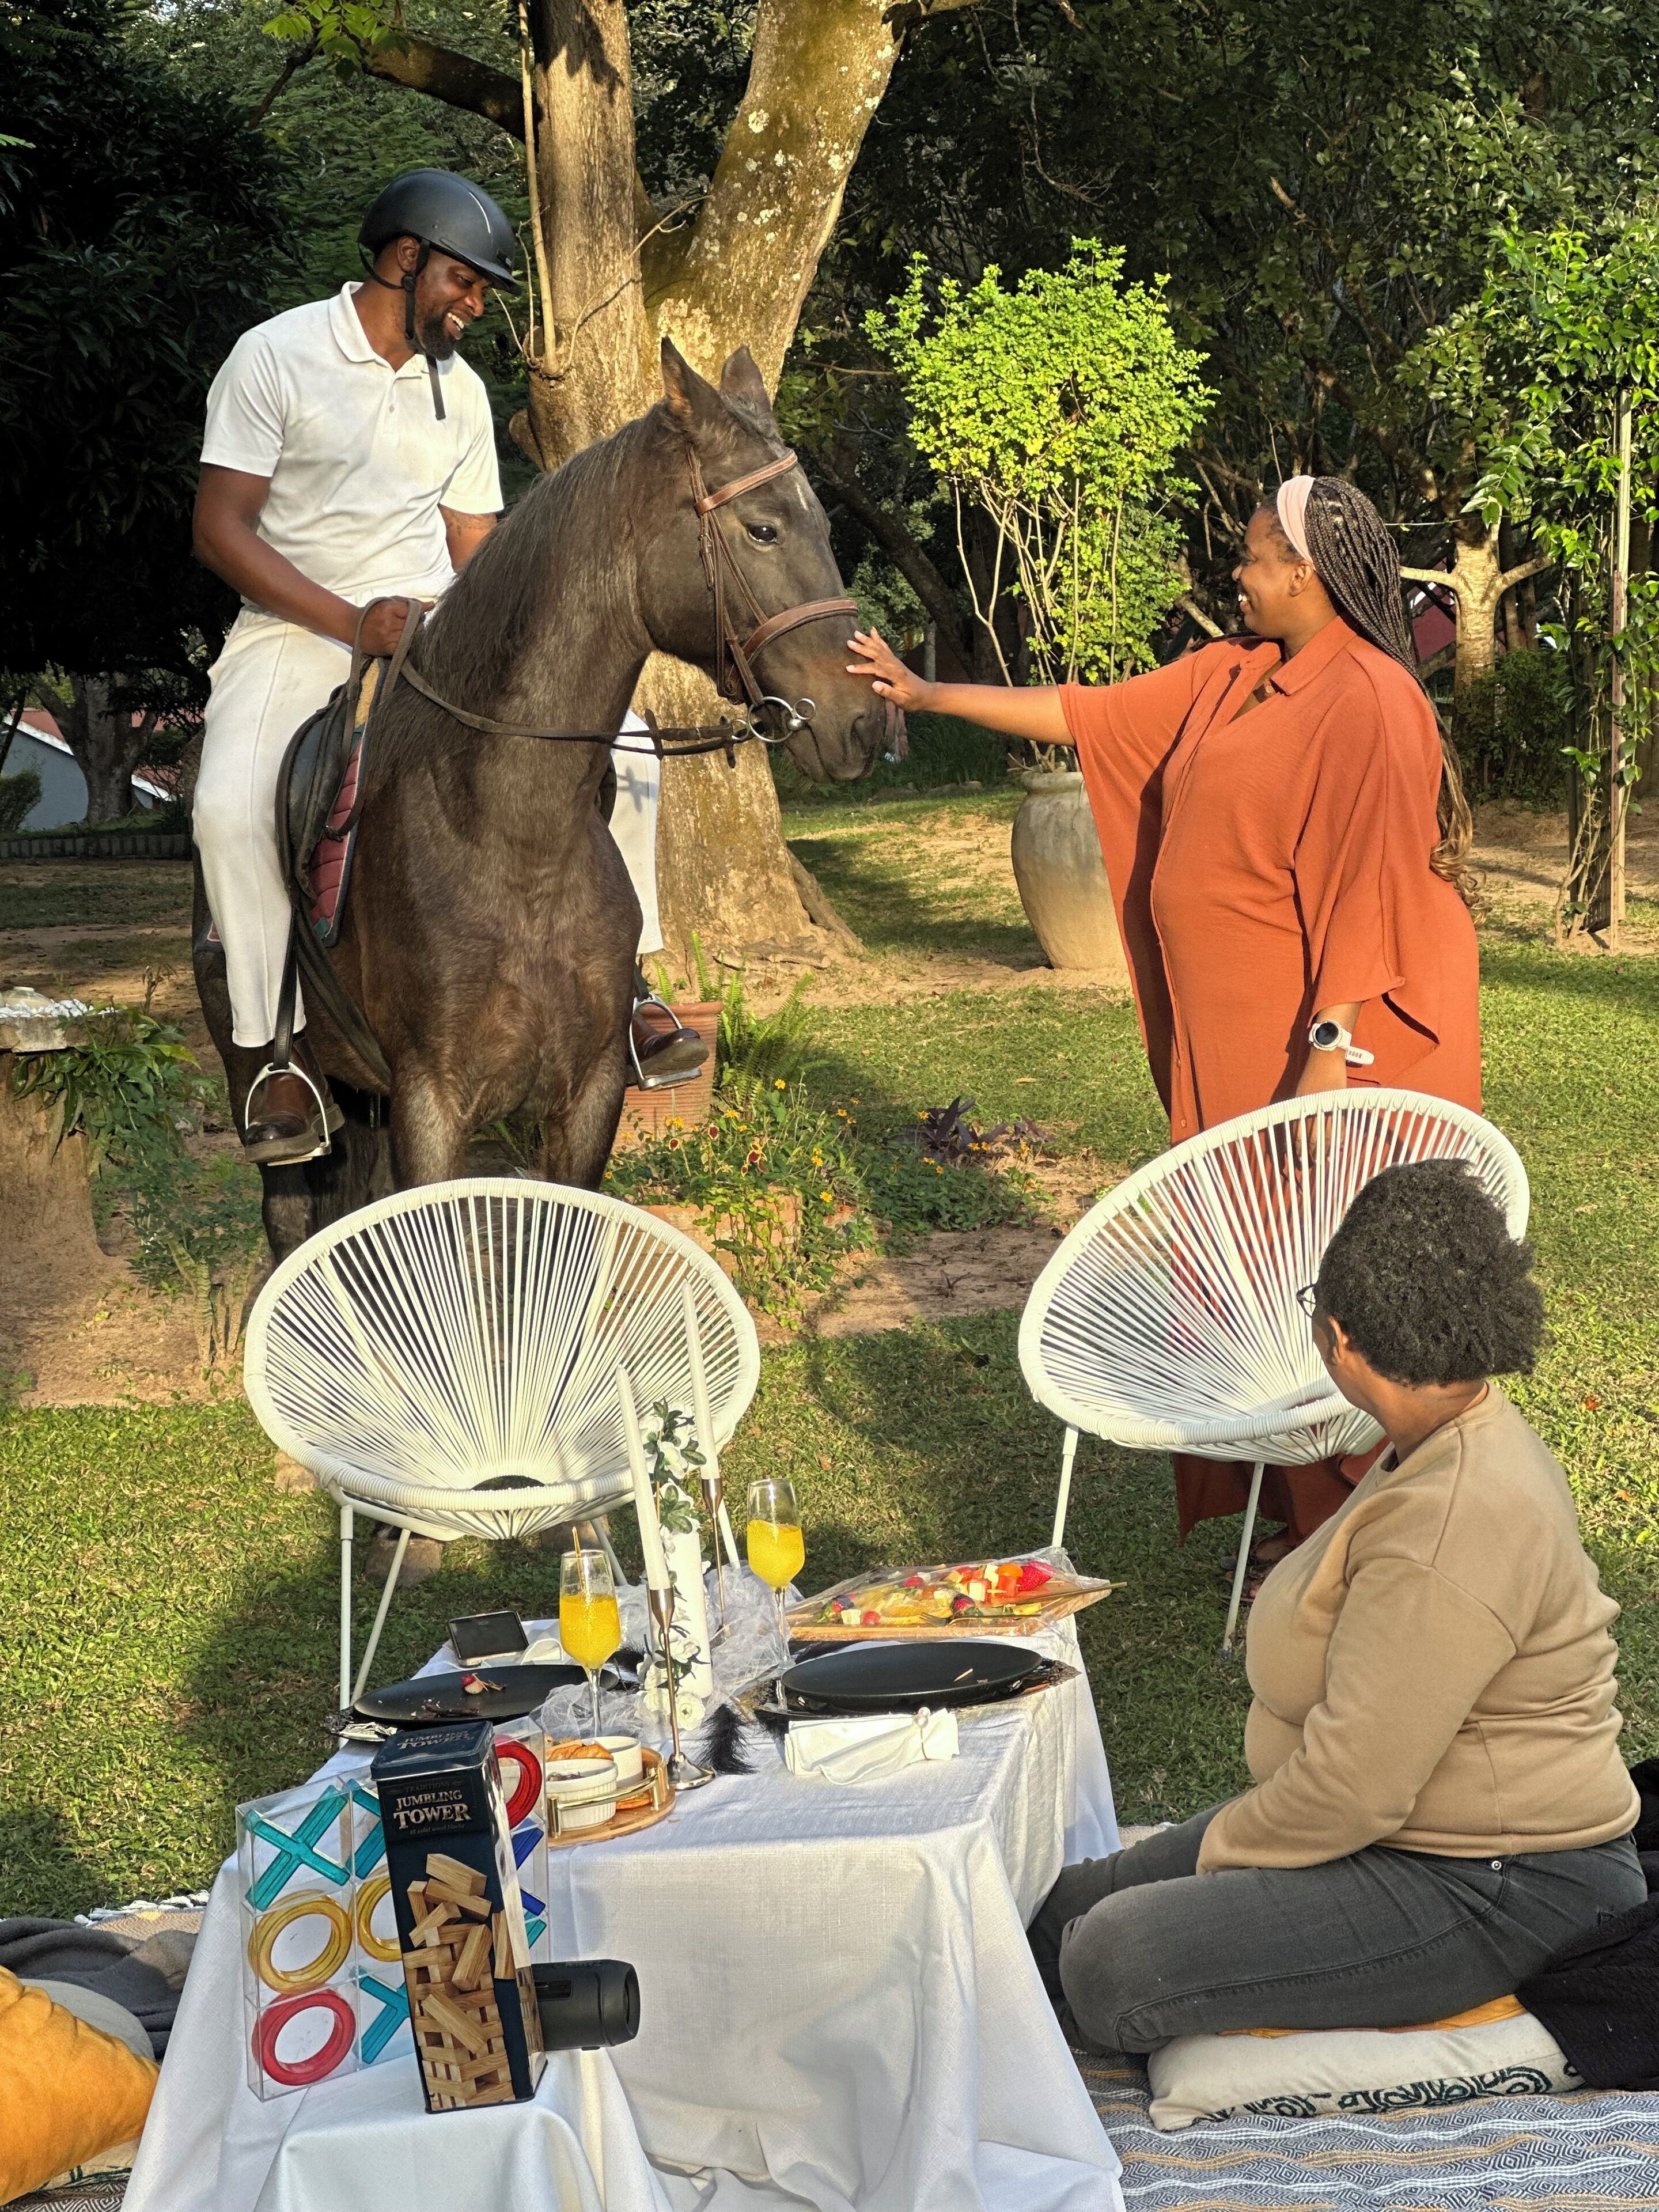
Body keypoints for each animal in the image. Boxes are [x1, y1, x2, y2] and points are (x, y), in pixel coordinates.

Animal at [194, 339, 887, 1262]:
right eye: (763, 528)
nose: (864, 720)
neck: (510, 835)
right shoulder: (433, 1102)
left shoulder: (587, 1095)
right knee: (291, 1212)